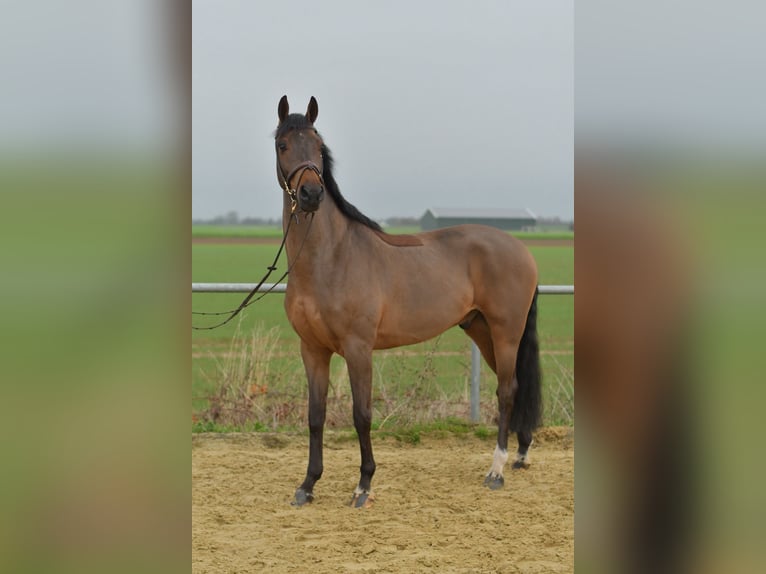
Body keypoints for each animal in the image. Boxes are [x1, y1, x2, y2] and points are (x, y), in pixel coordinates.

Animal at [274, 95, 542, 508]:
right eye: (283, 145)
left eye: (318, 147)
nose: (311, 195)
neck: (330, 258)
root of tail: (522, 250)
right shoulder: (313, 350)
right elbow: (315, 416)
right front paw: (307, 485)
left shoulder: (358, 349)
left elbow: (362, 414)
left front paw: (363, 485)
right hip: (482, 331)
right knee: (516, 386)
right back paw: (521, 454)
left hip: (506, 333)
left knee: (507, 391)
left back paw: (496, 471)